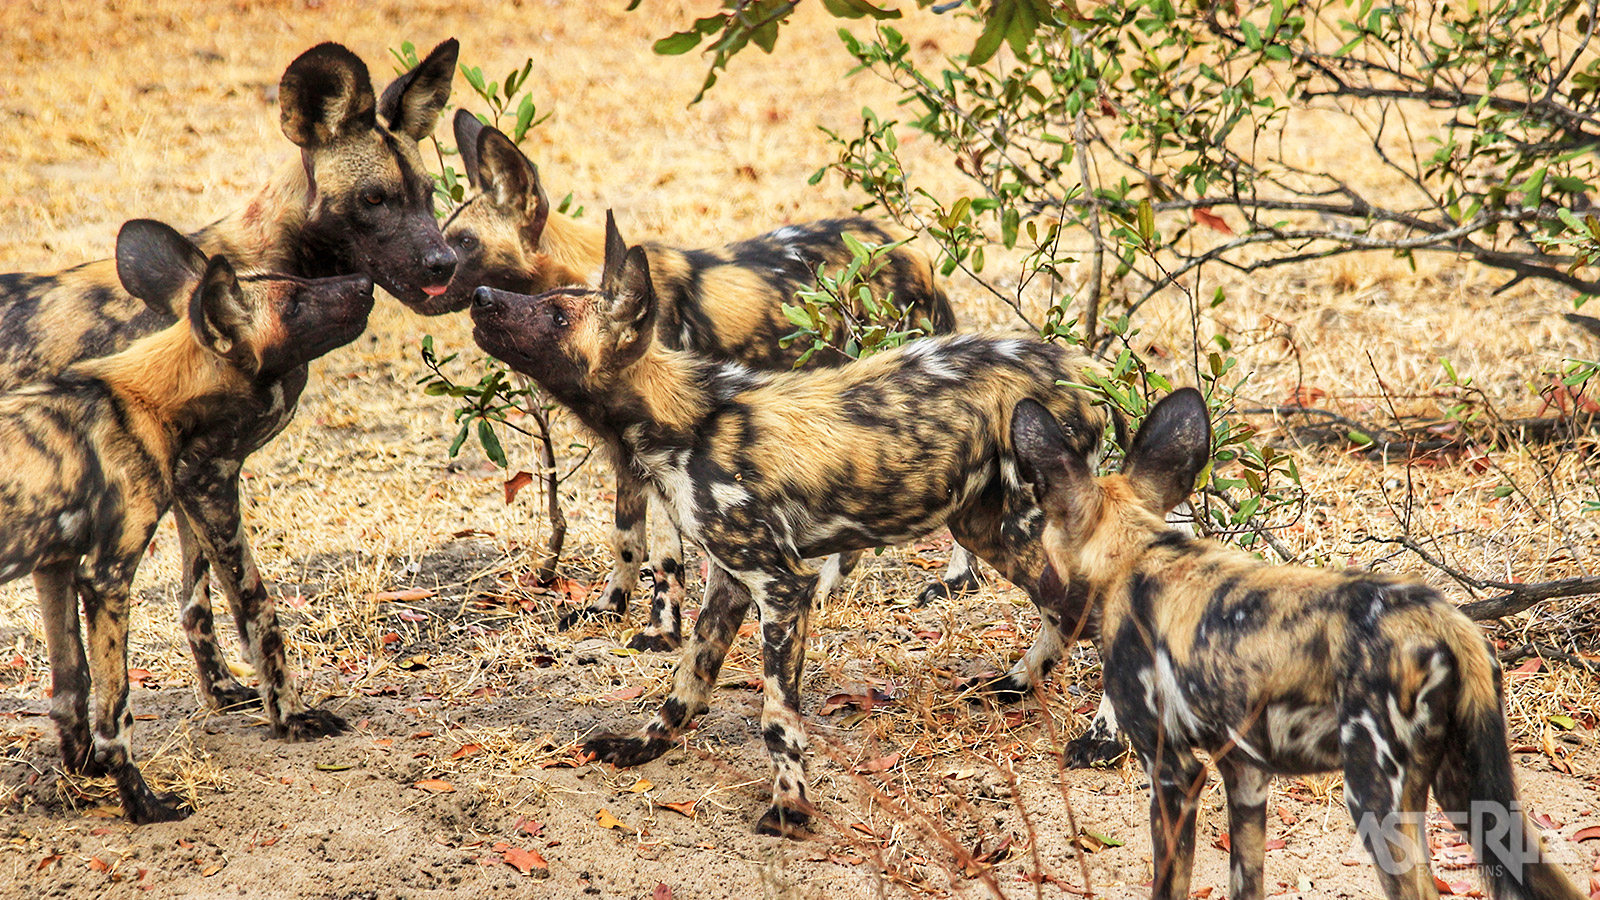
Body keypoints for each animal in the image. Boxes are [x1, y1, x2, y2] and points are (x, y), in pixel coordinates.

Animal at [1, 38, 464, 739]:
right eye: (374, 199)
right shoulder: (205, 476)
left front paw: (221, 693)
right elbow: (256, 604)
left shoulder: (195, 477)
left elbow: (197, 601)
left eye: (428, 195)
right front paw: (290, 715)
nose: (445, 263)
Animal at [14, 217, 374, 819]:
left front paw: (83, 769)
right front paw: (290, 717)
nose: (367, 283)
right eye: (294, 303)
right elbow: (256, 612)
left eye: (296, 281)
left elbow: (75, 682)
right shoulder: (173, 514)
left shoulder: (60, 562)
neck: (143, 393)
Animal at [425, 112, 972, 646]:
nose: (425, 271)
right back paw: (830, 586)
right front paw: (610, 607)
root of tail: (913, 253)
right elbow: (628, 540)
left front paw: (660, 630)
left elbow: (667, 557)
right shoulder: (631, 457)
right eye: (444, 235)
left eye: (465, 242)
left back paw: (954, 581)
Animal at [464, 212, 1113, 832]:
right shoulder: (729, 582)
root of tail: (1085, 369)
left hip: (1026, 529)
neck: (683, 423)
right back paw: (1016, 684)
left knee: (1102, 612)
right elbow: (686, 682)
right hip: (987, 529)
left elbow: (776, 718)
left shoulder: (779, 588)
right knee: (1065, 613)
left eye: (556, 316)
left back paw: (1103, 741)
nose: (481, 294)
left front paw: (790, 807)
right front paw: (643, 747)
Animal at [1011, 389, 1587, 896]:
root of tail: (1447, 617)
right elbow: (1246, 882)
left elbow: (1167, 884)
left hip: (1375, 796)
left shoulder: (1173, 772)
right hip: (1469, 797)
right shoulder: (1245, 775)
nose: (1039, 591)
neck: (1136, 551)